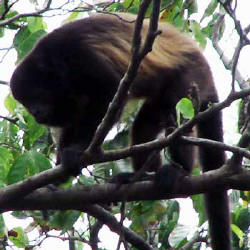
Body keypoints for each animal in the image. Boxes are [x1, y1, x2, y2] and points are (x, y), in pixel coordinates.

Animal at [10, 13, 231, 248]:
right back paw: (140, 177)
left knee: (176, 116)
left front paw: (75, 152)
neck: (56, 62)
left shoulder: (81, 57)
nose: (35, 112)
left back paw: (180, 170)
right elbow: (74, 119)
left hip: (190, 77)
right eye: (25, 102)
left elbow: (109, 92)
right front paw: (58, 176)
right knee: (145, 123)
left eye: (36, 94)